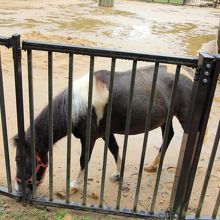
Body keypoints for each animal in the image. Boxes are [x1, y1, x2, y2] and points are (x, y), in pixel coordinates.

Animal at [14, 64, 192, 193]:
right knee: (168, 136)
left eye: (18, 160)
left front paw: (74, 185)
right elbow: (114, 149)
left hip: (183, 118)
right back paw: (153, 166)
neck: (81, 104)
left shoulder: (90, 138)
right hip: (166, 119)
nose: (19, 189)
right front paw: (118, 173)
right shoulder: (106, 133)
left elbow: (84, 159)